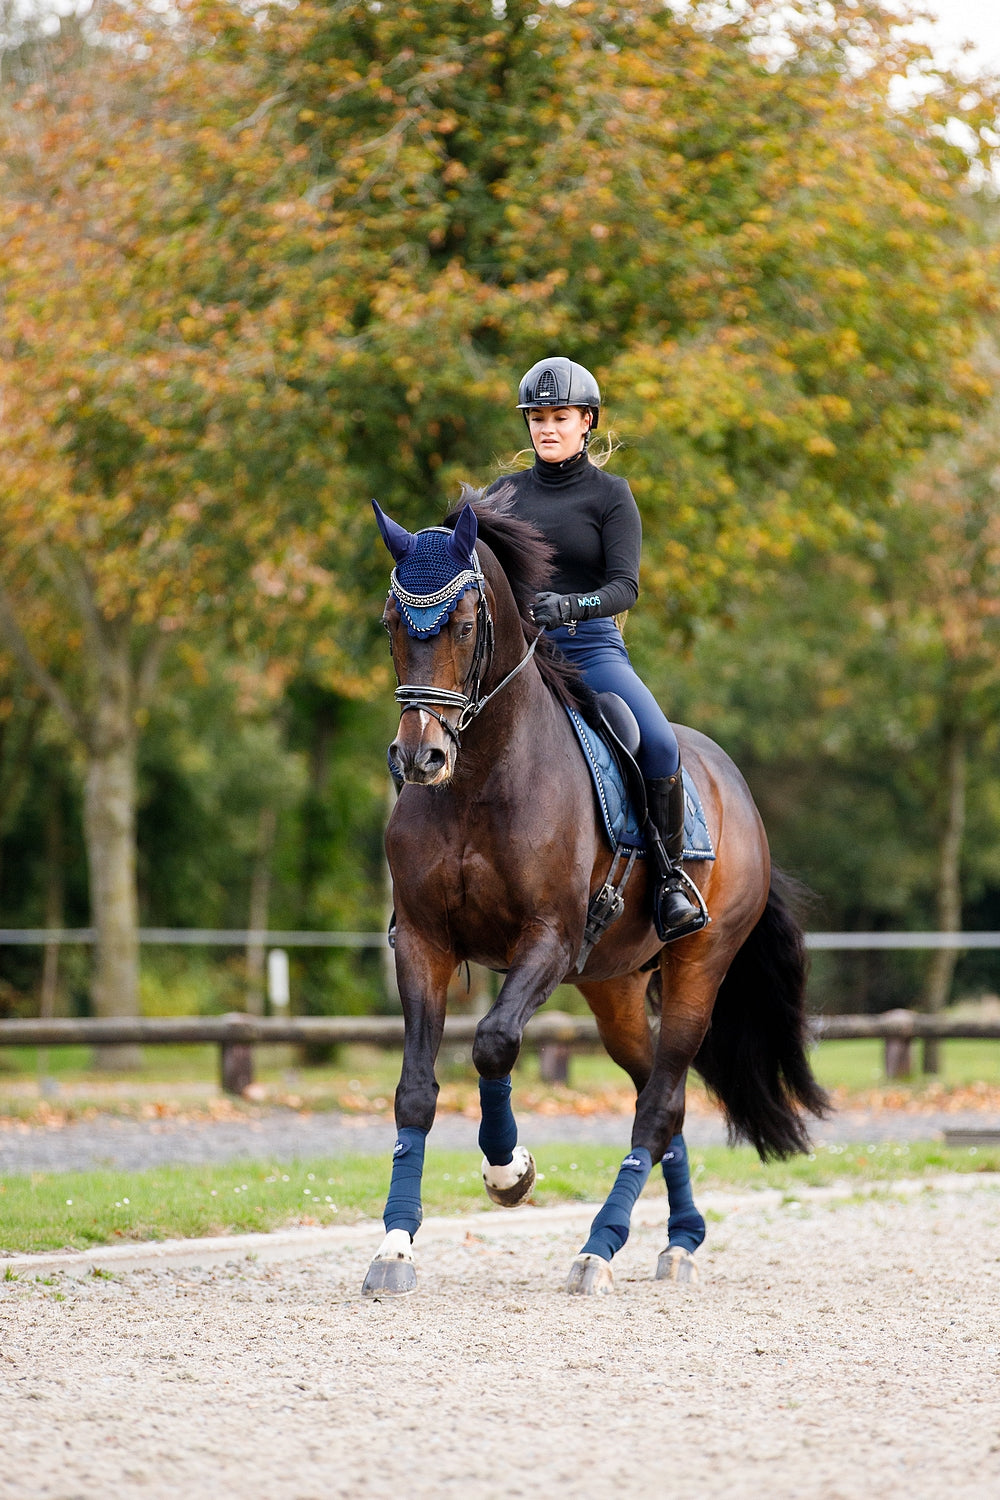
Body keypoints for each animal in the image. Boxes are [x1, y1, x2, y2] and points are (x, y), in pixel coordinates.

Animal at [364, 486, 827, 1296]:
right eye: (393, 624)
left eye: (462, 625)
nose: (420, 757)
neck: (479, 778)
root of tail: (734, 785)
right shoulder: (423, 942)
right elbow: (417, 1088)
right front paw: (395, 1246)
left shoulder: (547, 941)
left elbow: (493, 1043)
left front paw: (509, 1171)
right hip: (613, 988)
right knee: (658, 1098)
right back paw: (680, 1238)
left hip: (696, 969)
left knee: (661, 1101)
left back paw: (600, 1248)